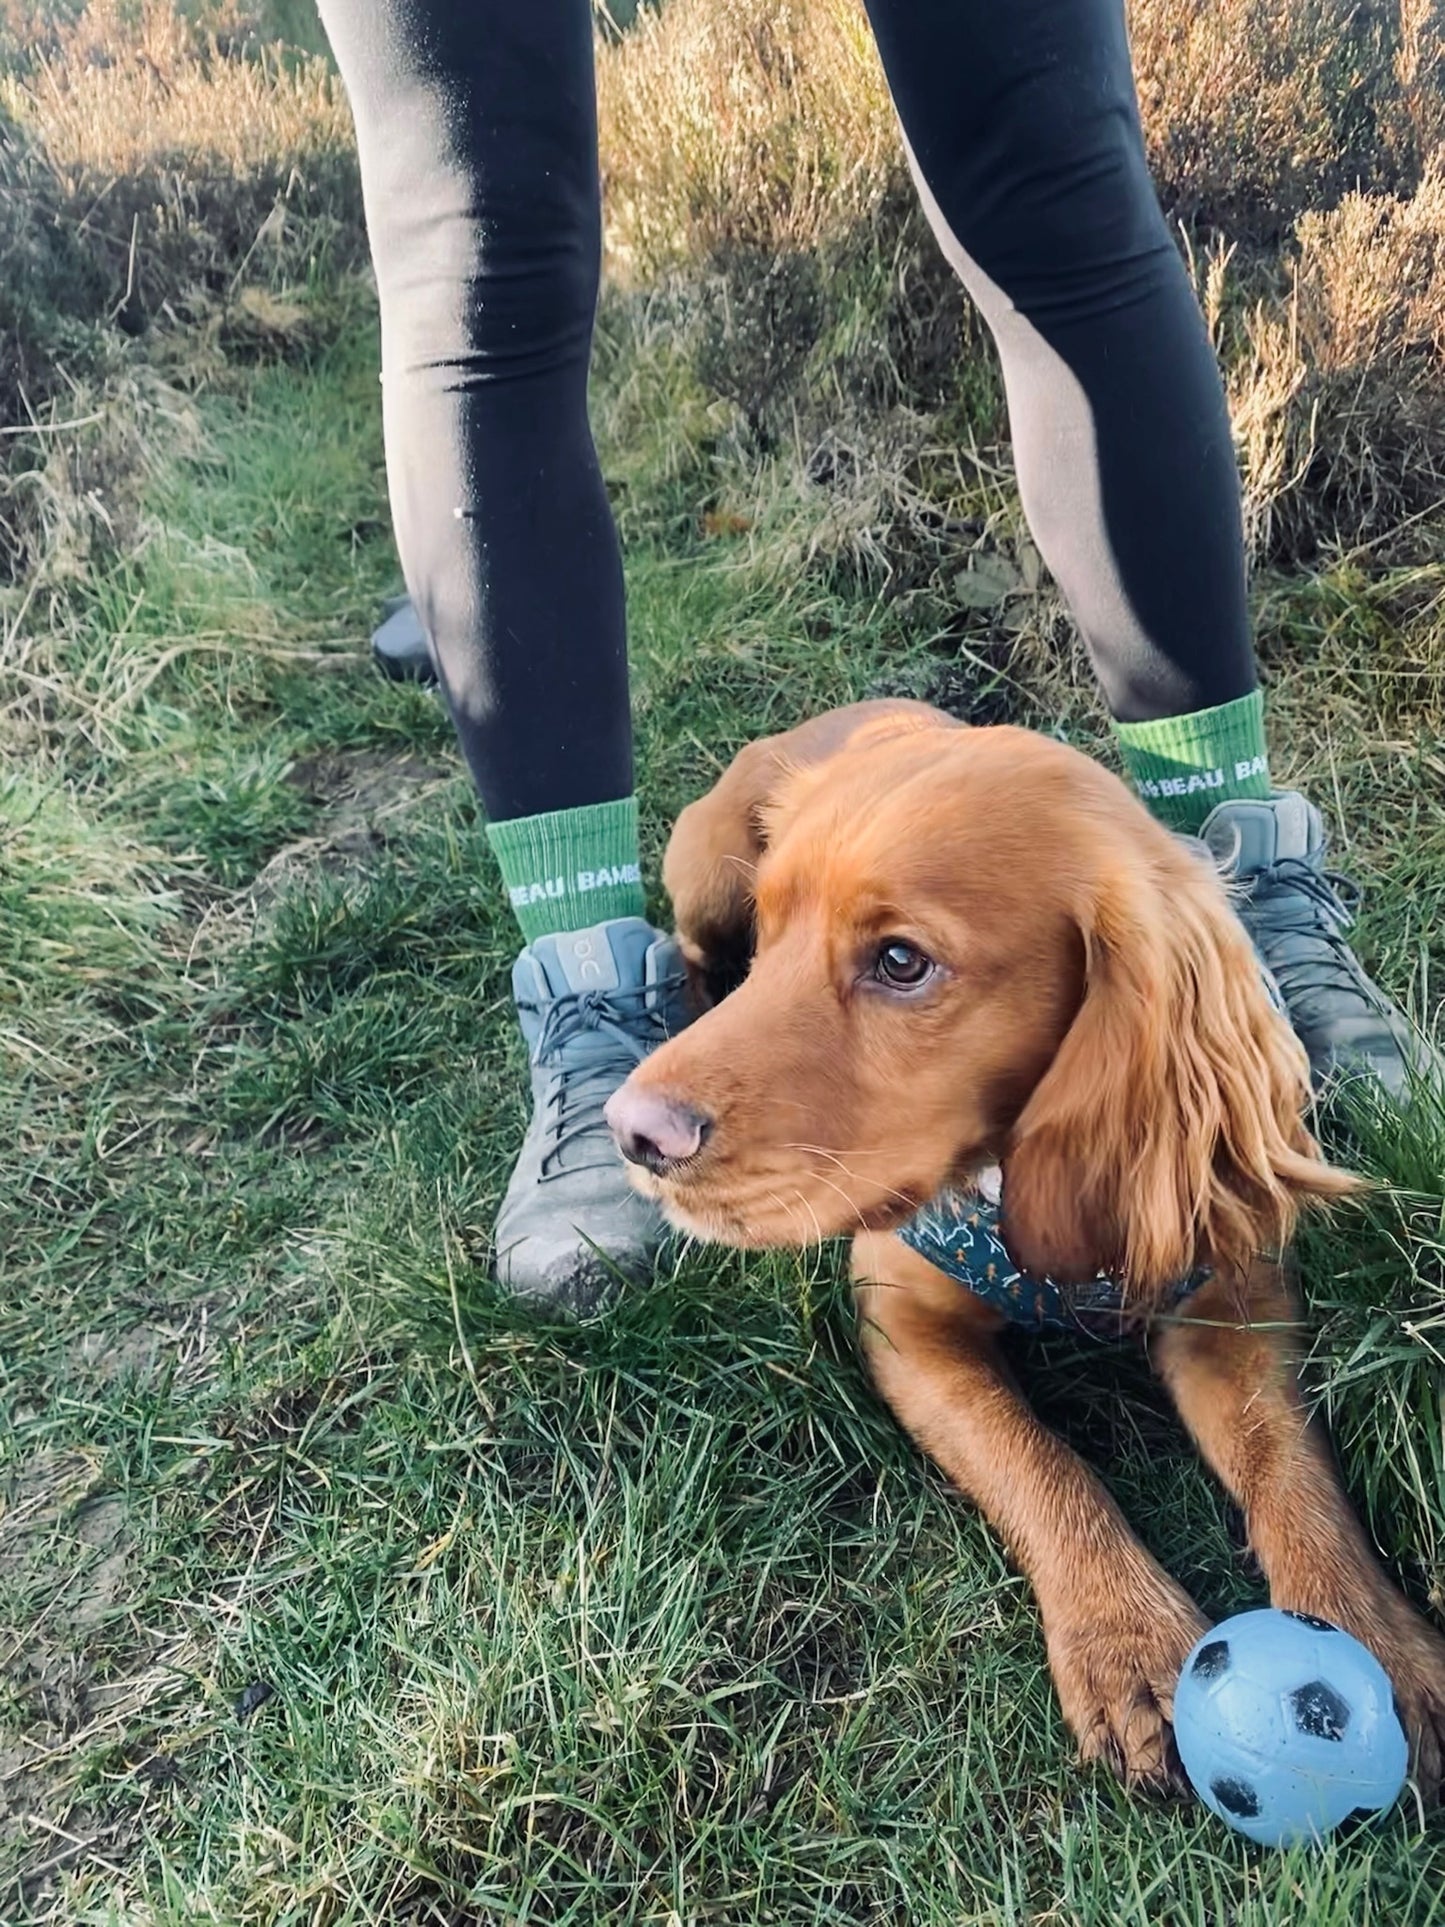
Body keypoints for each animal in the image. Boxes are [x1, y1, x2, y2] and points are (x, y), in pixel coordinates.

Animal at [604, 705, 1445, 1788]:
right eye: (773, 926)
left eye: (901, 962)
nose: (633, 1134)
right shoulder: (902, 1319)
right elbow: (1038, 1462)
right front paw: (1124, 1641)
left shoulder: (1228, 1289)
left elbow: (1284, 1457)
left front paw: (1368, 1635)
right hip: (705, 868)